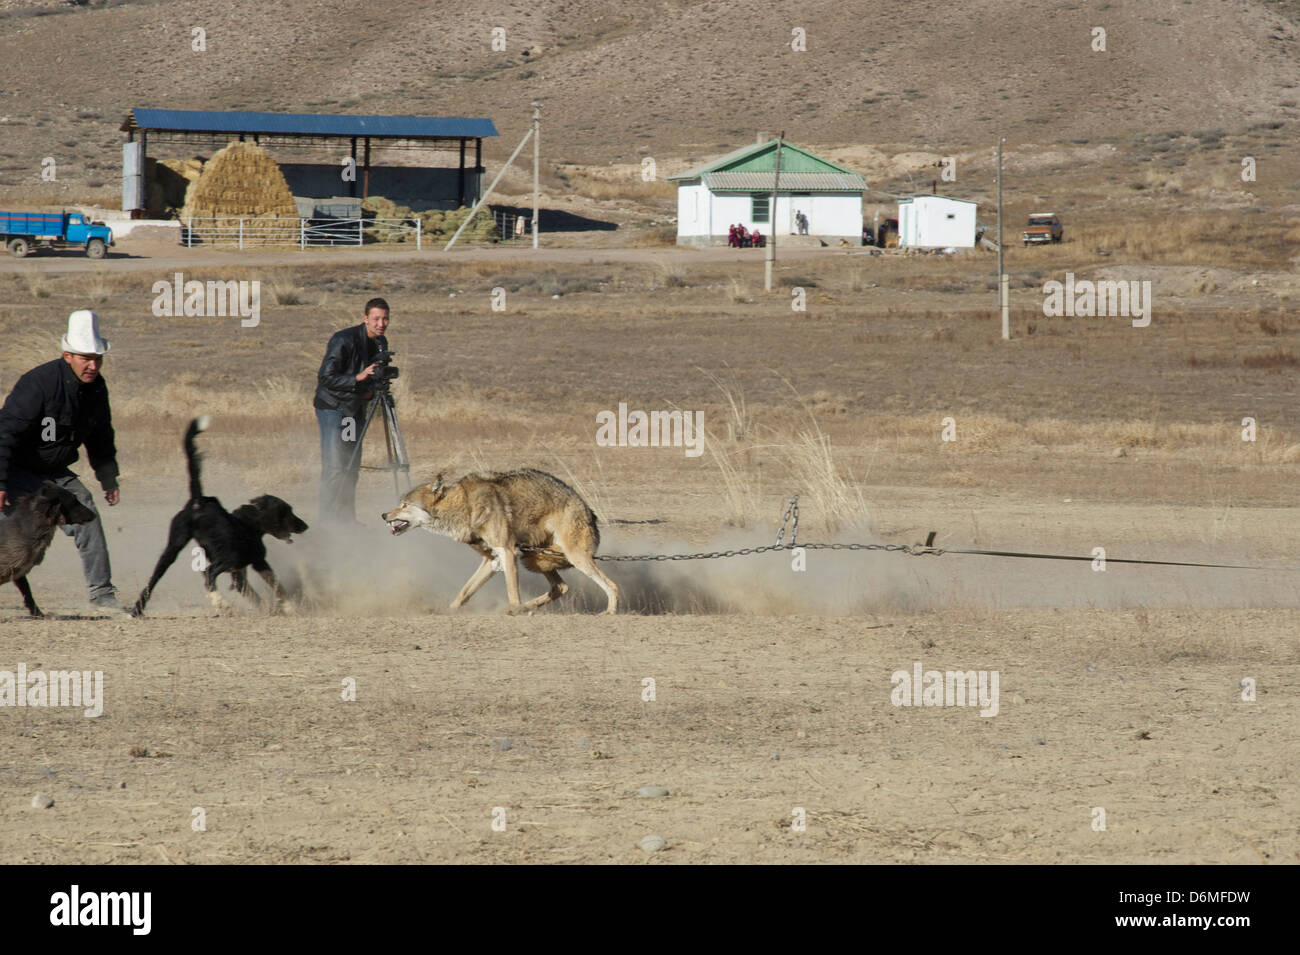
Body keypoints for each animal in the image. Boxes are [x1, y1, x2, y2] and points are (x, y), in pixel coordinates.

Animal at [382, 468, 619, 614]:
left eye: (404, 505)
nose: (384, 515)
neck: (466, 506)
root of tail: (590, 512)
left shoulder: (507, 552)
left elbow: (512, 590)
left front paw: (514, 608)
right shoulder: (492, 560)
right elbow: (465, 592)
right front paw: (447, 611)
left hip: (574, 557)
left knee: (611, 586)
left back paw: (609, 611)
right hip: (536, 557)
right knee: (561, 588)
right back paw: (527, 608)